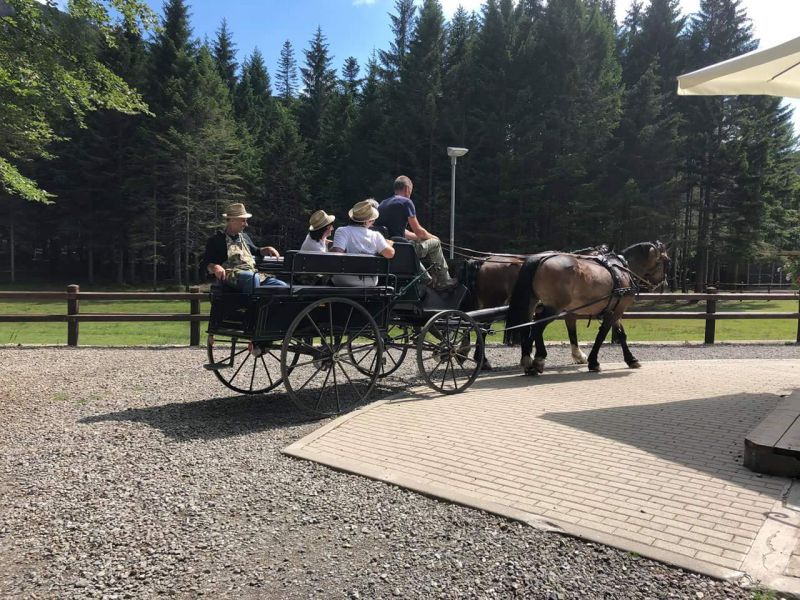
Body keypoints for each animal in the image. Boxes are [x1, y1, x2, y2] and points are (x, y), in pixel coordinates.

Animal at [506, 240, 668, 372]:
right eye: (665, 260)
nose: (663, 283)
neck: (621, 271)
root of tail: (540, 258)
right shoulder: (617, 310)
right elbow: (602, 335)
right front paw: (594, 362)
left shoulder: (614, 309)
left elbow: (621, 334)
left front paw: (631, 359)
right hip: (554, 308)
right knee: (537, 327)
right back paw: (538, 359)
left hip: (533, 303)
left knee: (527, 326)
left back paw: (528, 360)